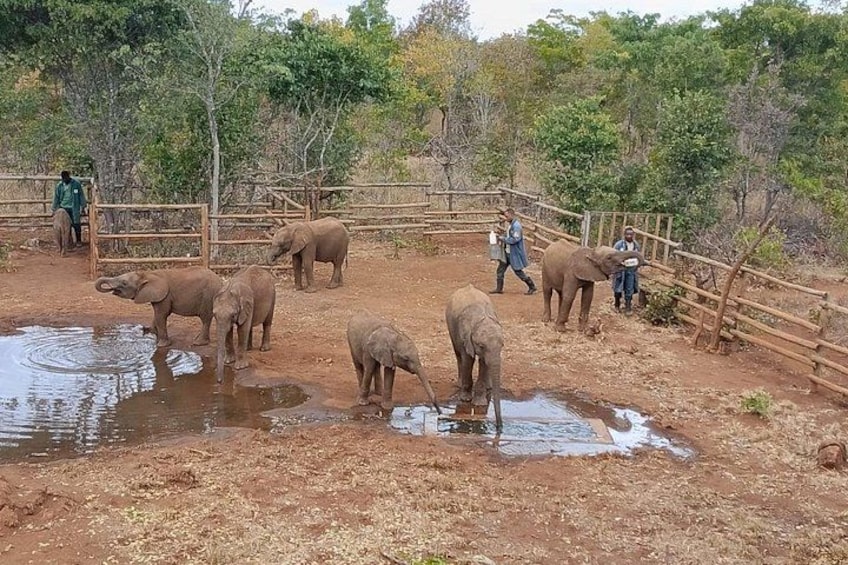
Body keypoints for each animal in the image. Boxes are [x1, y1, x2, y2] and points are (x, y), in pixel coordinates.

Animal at [94, 266, 223, 348]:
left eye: (124, 283)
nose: (112, 290)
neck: (146, 274)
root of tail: (220, 281)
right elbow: (156, 314)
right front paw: (148, 331)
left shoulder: (164, 296)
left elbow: (161, 315)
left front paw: (161, 345)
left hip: (209, 296)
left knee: (205, 318)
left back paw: (198, 343)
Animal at [445, 284, 504, 430]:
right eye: (481, 346)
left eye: (502, 345)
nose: (499, 428)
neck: (482, 318)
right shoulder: (465, 336)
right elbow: (468, 359)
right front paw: (465, 400)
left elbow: (484, 363)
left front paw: (479, 404)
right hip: (451, 326)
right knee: (458, 354)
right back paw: (460, 384)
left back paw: (489, 387)